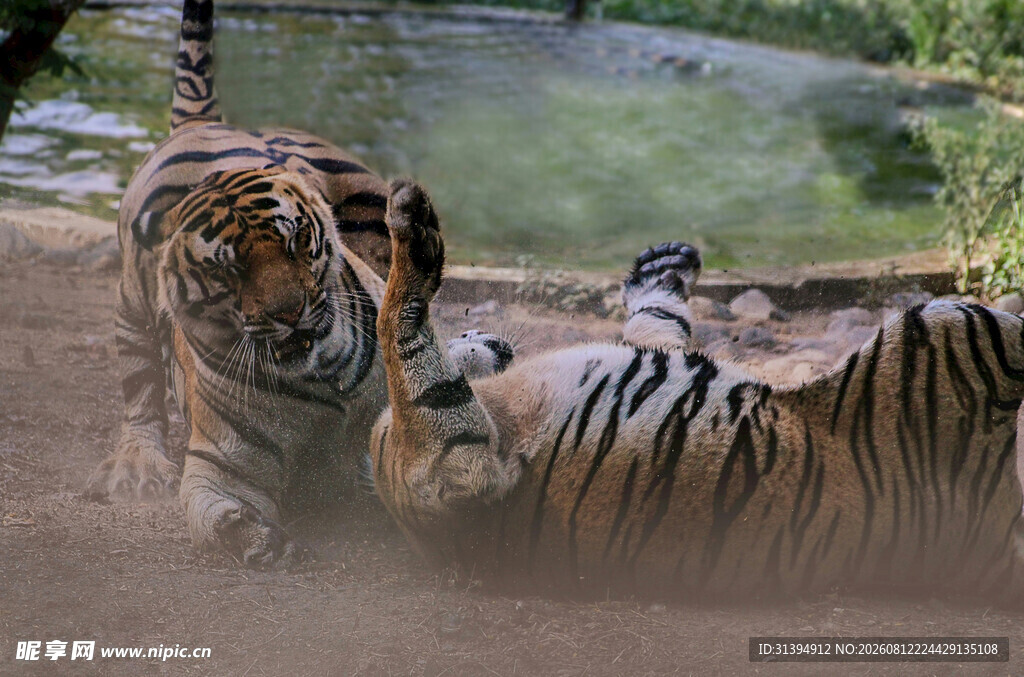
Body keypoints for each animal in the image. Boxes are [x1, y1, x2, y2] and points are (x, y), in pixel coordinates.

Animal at [85, 0, 395, 567]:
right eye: (228, 269)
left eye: (297, 242)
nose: (290, 313)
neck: (322, 381)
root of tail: (204, 123)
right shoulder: (221, 465)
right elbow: (215, 517)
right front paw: (256, 537)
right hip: (132, 303)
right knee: (139, 385)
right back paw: (139, 468)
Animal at [371, 178, 1024, 604]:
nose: (478, 333)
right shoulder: (450, 471)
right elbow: (395, 328)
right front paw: (411, 228)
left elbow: (656, 321)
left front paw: (662, 265)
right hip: (954, 324)